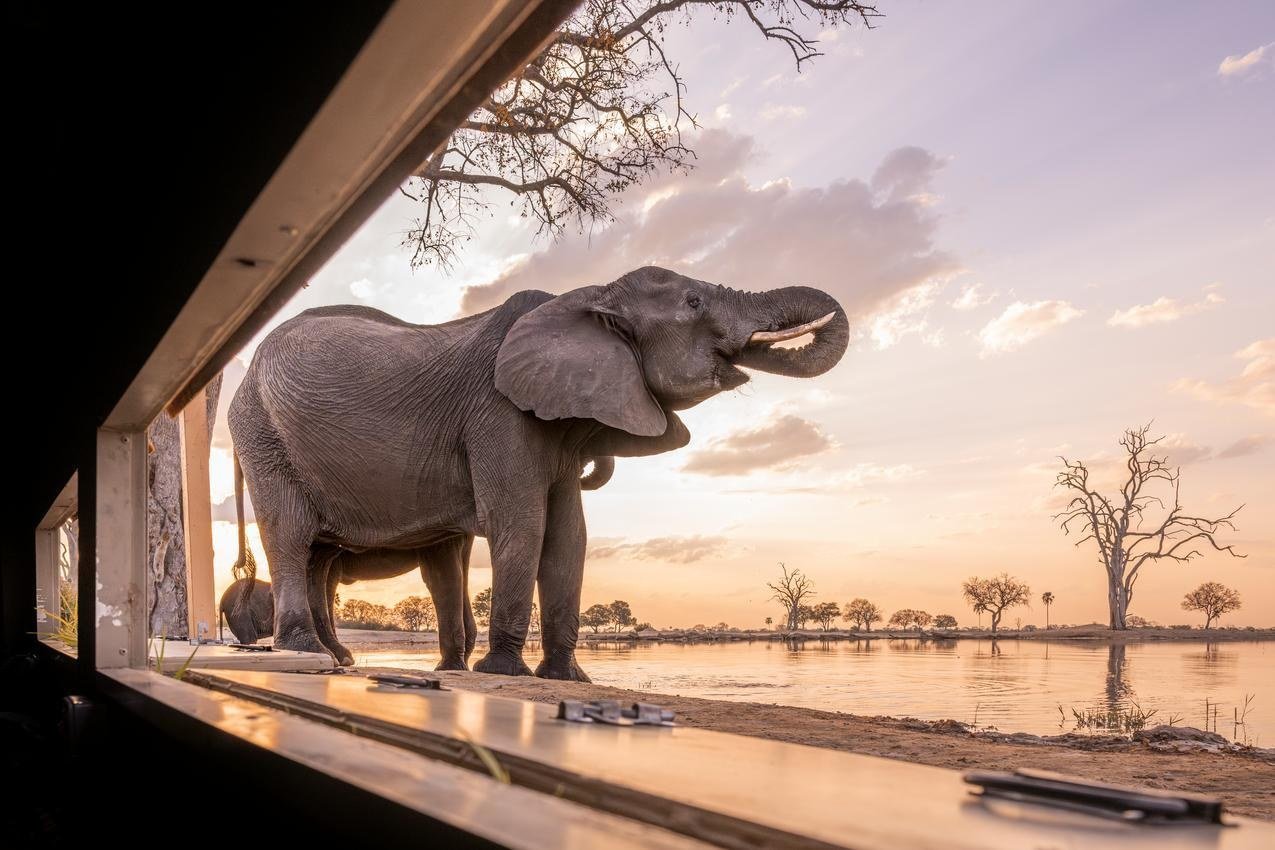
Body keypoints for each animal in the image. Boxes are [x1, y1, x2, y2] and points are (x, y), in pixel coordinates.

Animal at [228, 266, 848, 680]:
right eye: (694, 302)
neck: (590, 297)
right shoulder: (498, 411)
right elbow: (522, 524)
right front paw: (502, 672)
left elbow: (570, 538)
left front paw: (567, 678)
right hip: (261, 433)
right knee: (290, 536)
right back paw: (307, 654)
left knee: (317, 556)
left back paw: (334, 658)